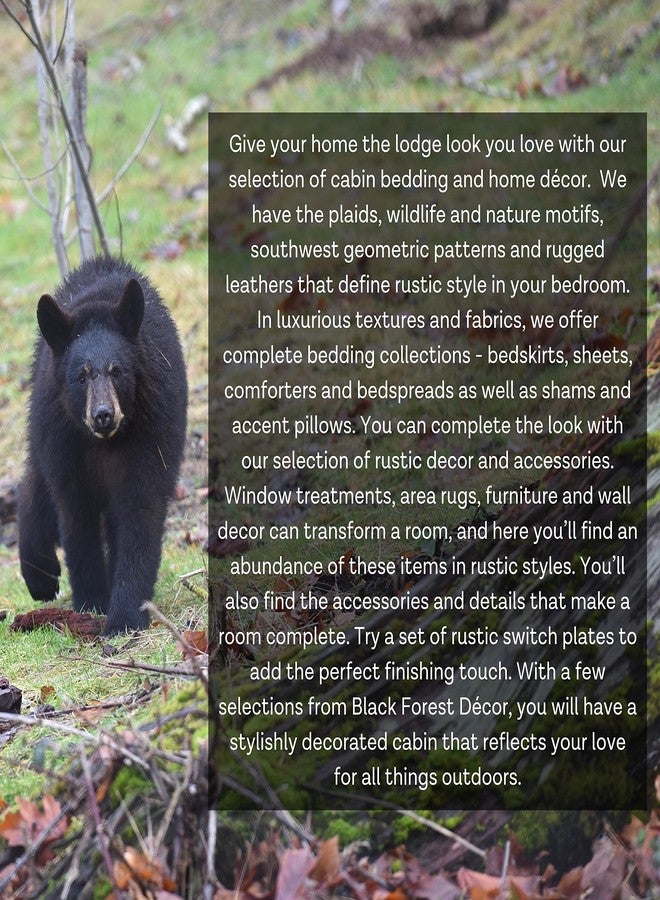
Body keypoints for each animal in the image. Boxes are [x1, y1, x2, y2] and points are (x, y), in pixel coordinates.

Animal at [18, 256, 188, 634]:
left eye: (117, 370)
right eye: (80, 376)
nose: (103, 415)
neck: (106, 444)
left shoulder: (154, 430)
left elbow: (141, 511)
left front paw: (125, 615)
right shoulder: (63, 439)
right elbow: (75, 514)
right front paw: (91, 601)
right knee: (36, 477)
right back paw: (40, 574)